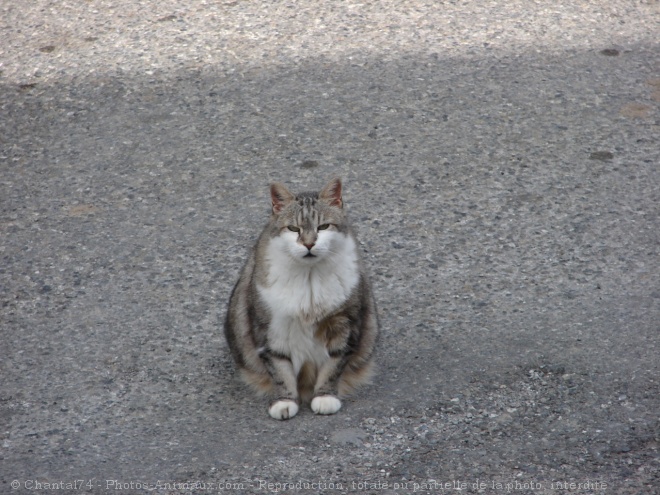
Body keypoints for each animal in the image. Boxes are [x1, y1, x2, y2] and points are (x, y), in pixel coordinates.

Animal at [224, 177, 378, 418]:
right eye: (293, 228)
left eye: (323, 227)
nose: (308, 244)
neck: (309, 278)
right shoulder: (270, 329)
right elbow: (280, 370)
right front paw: (285, 401)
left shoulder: (345, 324)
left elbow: (333, 366)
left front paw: (325, 396)